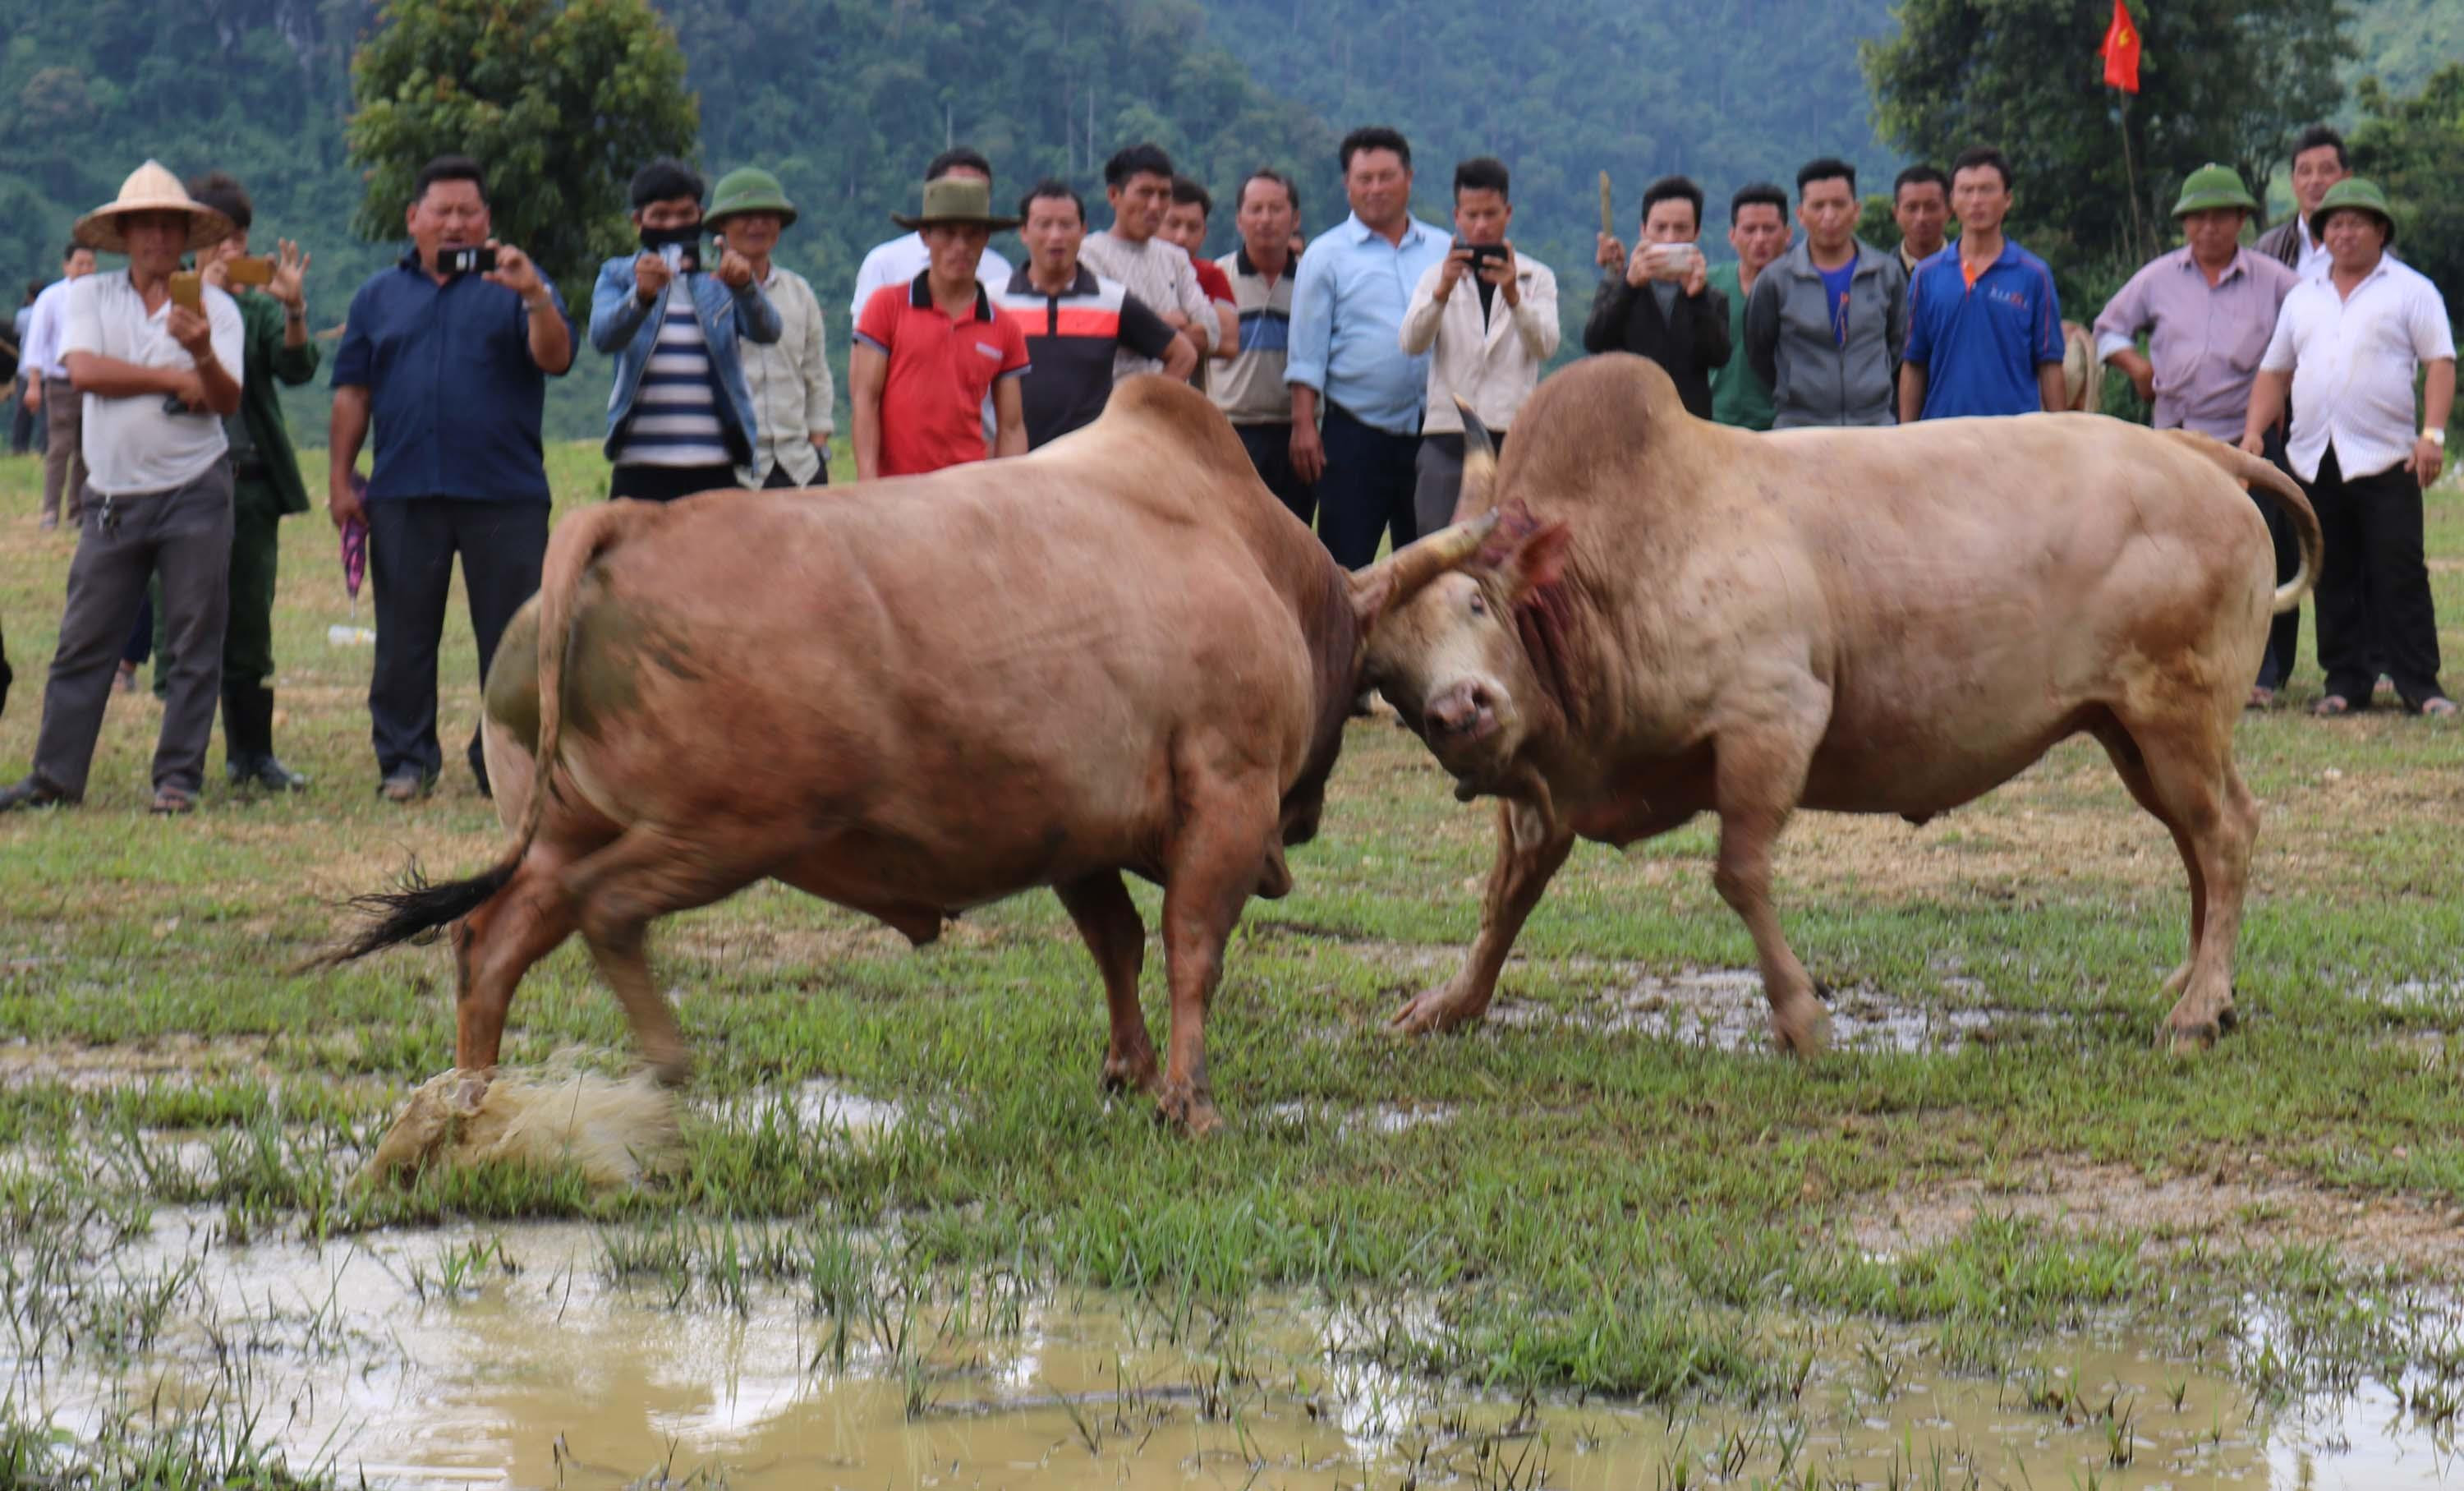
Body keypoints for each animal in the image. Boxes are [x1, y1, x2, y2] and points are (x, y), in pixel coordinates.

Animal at [1360, 352, 2316, 1045]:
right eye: (1385, 671)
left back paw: (2198, 1008)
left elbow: (1739, 873)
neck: (1615, 568)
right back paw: (2201, 984)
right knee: (2197, 837)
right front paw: (1451, 1001)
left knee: (2225, 833)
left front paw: (1800, 1016)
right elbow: (1505, 896)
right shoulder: (1542, 787)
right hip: (2128, 728)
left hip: (2176, 713)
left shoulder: (1772, 720)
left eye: (1477, 604)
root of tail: (2197, 453)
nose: (1461, 711)